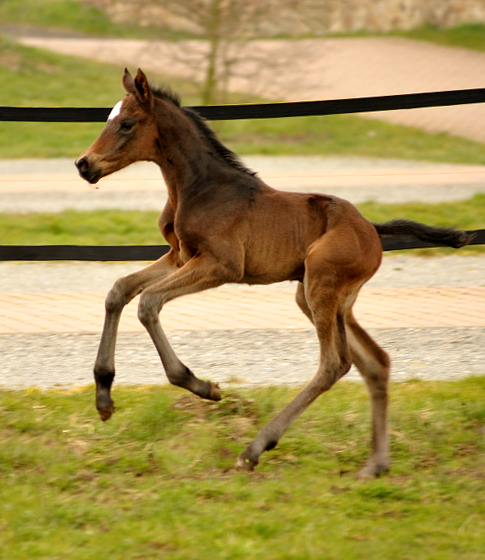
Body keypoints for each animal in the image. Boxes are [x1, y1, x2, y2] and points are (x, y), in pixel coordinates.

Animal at [74, 68, 468, 474]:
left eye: (127, 123)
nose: (84, 164)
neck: (198, 189)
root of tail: (371, 230)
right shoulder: (180, 257)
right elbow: (119, 290)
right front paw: (103, 395)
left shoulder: (221, 264)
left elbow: (148, 303)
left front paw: (201, 386)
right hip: (322, 297)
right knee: (375, 362)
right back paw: (375, 465)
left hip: (321, 286)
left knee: (334, 363)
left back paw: (256, 447)